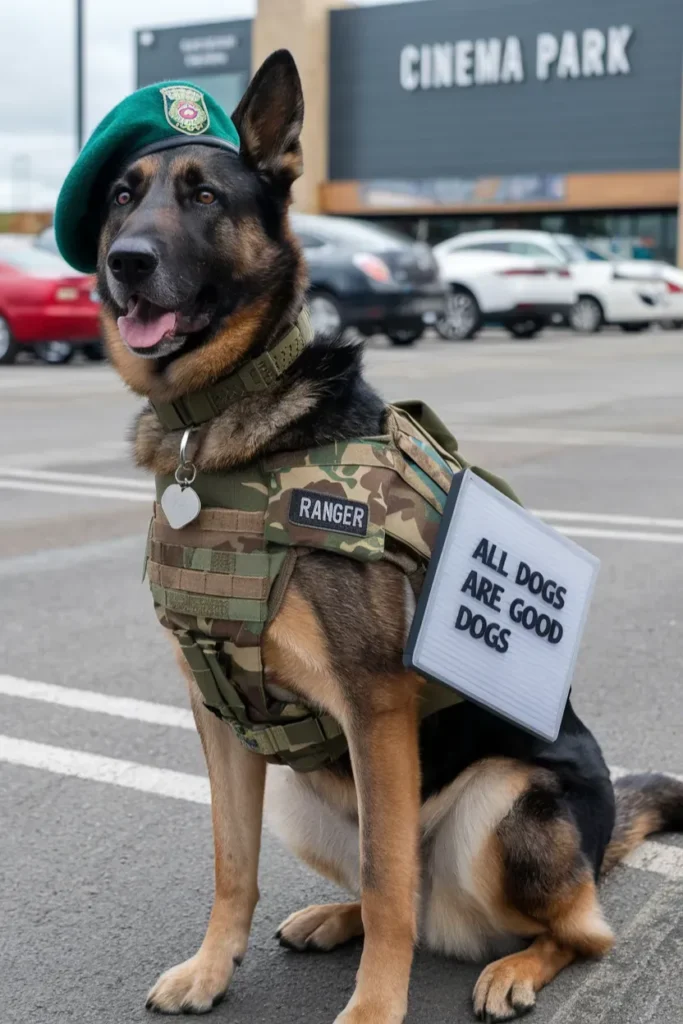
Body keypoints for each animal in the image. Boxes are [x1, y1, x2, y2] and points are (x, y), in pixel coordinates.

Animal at [98, 54, 683, 1024]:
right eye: (120, 196)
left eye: (204, 196)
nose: (124, 263)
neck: (222, 421)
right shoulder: (216, 714)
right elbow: (232, 862)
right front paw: (213, 969)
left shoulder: (373, 705)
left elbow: (382, 877)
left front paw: (373, 1009)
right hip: (307, 800)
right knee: (400, 891)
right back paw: (331, 919)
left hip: (505, 798)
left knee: (569, 928)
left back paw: (514, 966)